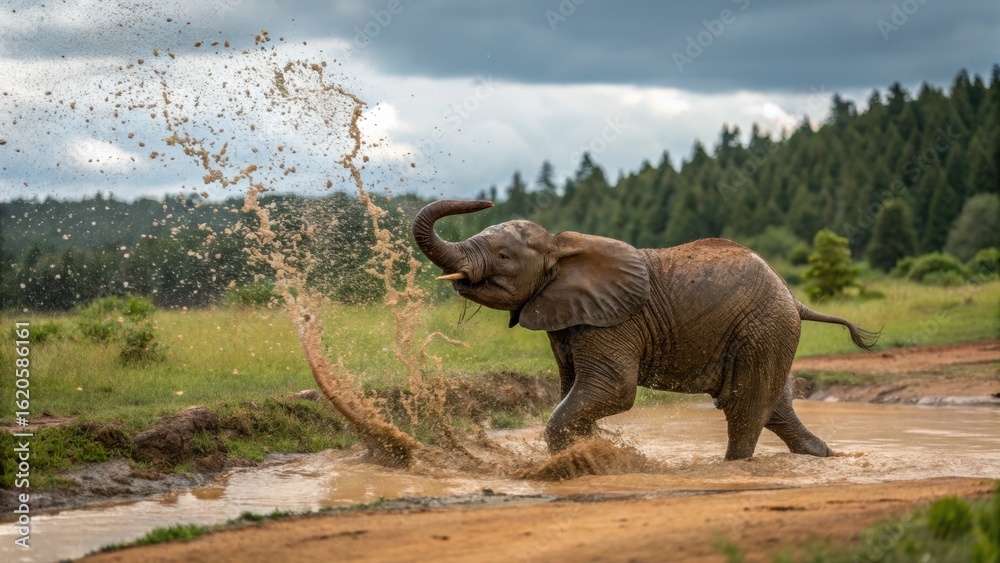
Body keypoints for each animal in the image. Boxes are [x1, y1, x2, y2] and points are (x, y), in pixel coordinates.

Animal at [412, 200, 879, 460]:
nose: (487, 201)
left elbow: (612, 390)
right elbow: (573, 389)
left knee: (744, 404)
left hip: (762, 327)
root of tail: (793, 296)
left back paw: (736, 466)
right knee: (773, 404)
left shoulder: (613, 320)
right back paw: (820, 455)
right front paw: (588, 452)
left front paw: (574, 464)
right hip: (766, 332)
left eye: (504, 256)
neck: (562, 249)